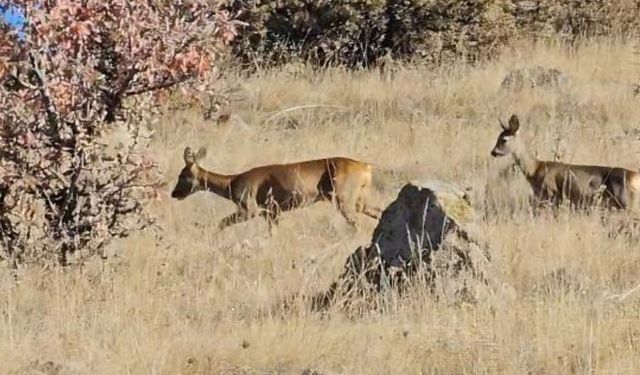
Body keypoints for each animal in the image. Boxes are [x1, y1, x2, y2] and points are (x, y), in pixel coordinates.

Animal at [169, 148, 384, 232]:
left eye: (182, 176)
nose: (174, 194)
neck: (232, 182)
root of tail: (366, 167)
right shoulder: (272, 211)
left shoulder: (249, 207)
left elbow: (221, 223)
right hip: (358, 198)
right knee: (378, 211)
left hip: (343, 196)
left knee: (356, 223)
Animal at [490, 114, 640, 214]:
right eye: (497, 137)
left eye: (503, 139)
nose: (493, 152)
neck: (535, 169)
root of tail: (634, 175)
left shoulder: (551, 193)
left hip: (626, 201)